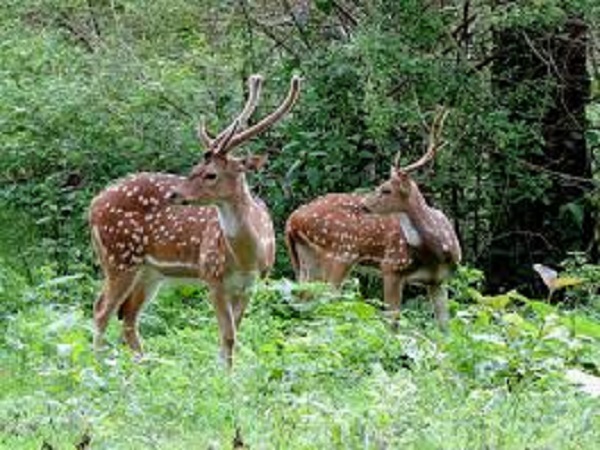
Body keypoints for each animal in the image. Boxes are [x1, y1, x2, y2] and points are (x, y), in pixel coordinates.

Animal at [88, 74, 300, 366]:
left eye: (211, 174)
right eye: (194, 168)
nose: (174, 194)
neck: (246, 257)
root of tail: (93, 206)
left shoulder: (252, 284)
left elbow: (232, 335)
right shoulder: (211, 274)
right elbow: (228, 335)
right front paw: (224, 373)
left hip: (149, 272)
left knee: (128, 317)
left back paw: (143, 366)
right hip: (119, 257)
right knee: (101, 310)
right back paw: (99, 367)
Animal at [284, 107, 460, 328]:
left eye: (386, 190)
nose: (363, 204)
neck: (436, 252)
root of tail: (291, 221)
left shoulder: (438, 280)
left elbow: (445, 327)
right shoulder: (391, 267)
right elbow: (392, 322)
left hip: (306, 257)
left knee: (303, 299)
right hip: (340, 252)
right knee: (325, 301)